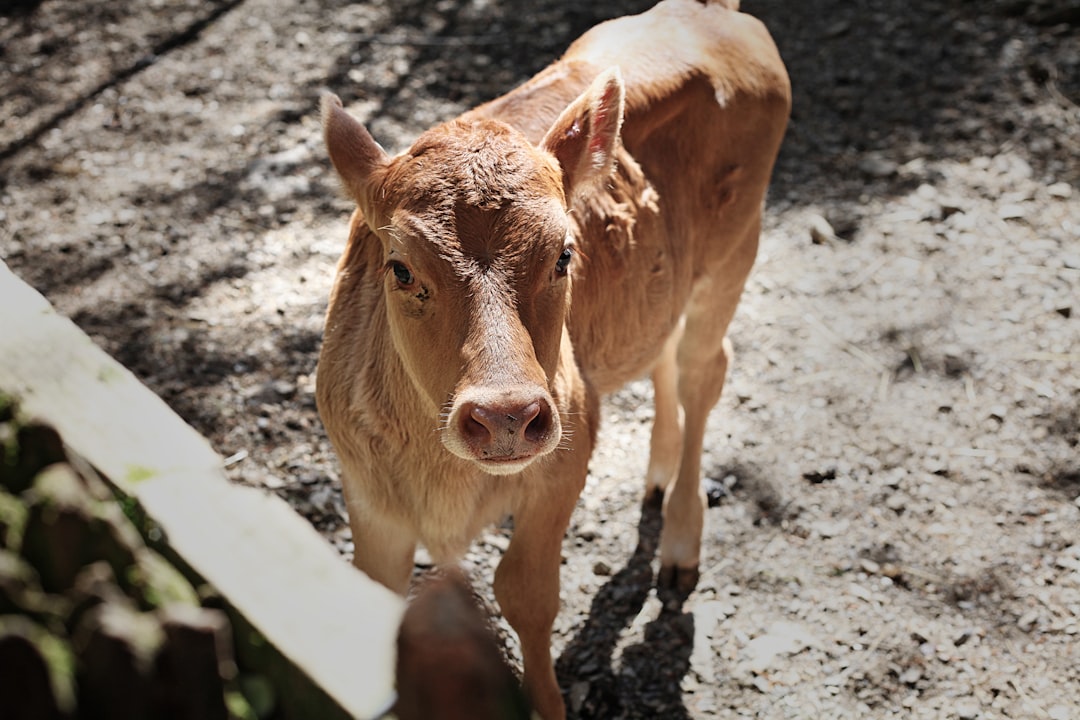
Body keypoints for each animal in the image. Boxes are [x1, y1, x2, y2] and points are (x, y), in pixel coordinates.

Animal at [315, 1, 790, 716]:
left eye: (564, 253)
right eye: (400, 269)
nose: (506, 416)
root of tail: (711, 14)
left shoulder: (566, 450)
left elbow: (526, 594)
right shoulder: (368, 495)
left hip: (736, 252)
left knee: (703, 371)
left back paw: (680, 539)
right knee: (664, 355)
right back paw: (656, 473)